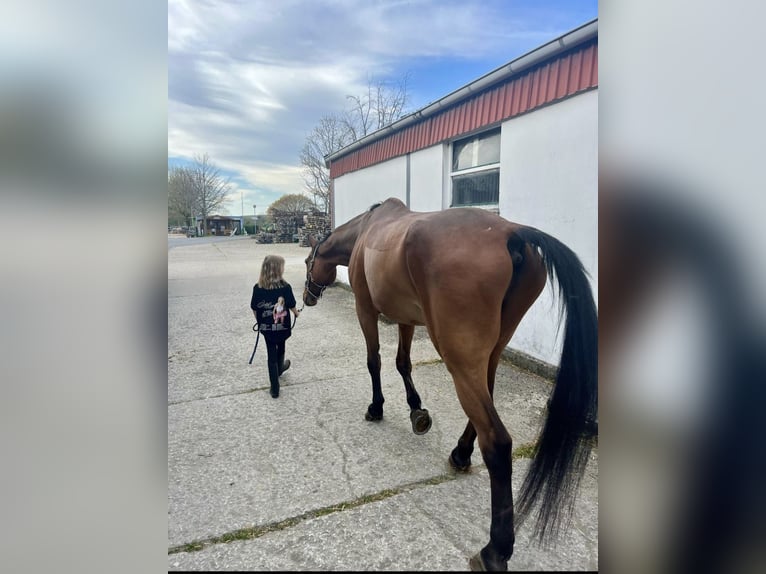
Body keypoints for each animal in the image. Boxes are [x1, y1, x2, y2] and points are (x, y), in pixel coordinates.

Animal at [302, 197, 597, 571]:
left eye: (308, 262)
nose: (307, 297)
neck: (366, 233)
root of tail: (512, 233)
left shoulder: (365, 310)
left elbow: (375, 361)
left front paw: (376, 407)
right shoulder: (406, 318)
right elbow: (402, 362)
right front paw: (417, 412)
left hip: (459, 357)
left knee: (497, 441)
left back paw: (494, 550)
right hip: (490, 352)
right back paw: (460, 453)